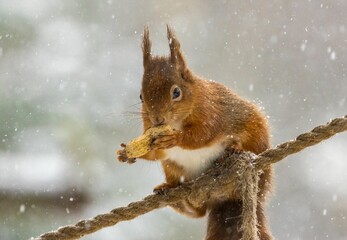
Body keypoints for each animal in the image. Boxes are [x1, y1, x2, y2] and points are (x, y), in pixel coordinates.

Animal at [118, 26, 274, 240]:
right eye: (141, 96)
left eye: (176, 93)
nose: (158, 120)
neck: (175, 122)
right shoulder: (149, 131)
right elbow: (155, 153)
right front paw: (125, 153)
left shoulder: (210, 111)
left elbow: (203, 135)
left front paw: (175, 138)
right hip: (173, 166)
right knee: (198, 211)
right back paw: (175, 196)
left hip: (257, 138)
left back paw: (234, 149)